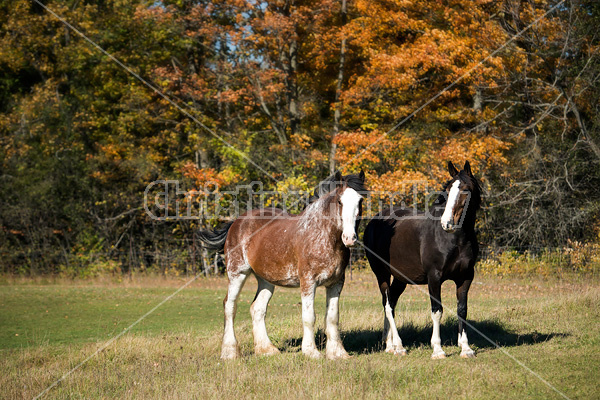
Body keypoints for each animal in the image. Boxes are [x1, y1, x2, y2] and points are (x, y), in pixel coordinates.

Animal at [199, 171, 366, 360]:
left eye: (360, 201)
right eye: (339, 201)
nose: (350, 238)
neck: (324, 236)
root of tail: (236, 223)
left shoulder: (336, 283)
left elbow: (332, 317)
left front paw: (338, 353)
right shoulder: (308, 282)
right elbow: (309, 316)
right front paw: (311, 352)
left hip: (266, 280)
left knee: (257, 308)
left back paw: (266, 349)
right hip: (237, 274)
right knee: (229, 306)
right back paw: (230, 352)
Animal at [364, 162, 480, 360]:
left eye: (465, 189)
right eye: (447, 190)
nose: (447, 223)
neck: (455, 239)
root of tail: (374, 221)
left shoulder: (465, 278)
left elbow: (462, 310)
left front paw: (466, 348)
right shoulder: (434, 278)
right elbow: (437, 311)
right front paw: (438, 350)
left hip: (401, 278)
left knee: (392, 303)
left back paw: (390, 345)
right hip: (382, 274)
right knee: (387, 306)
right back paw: (399, 346)